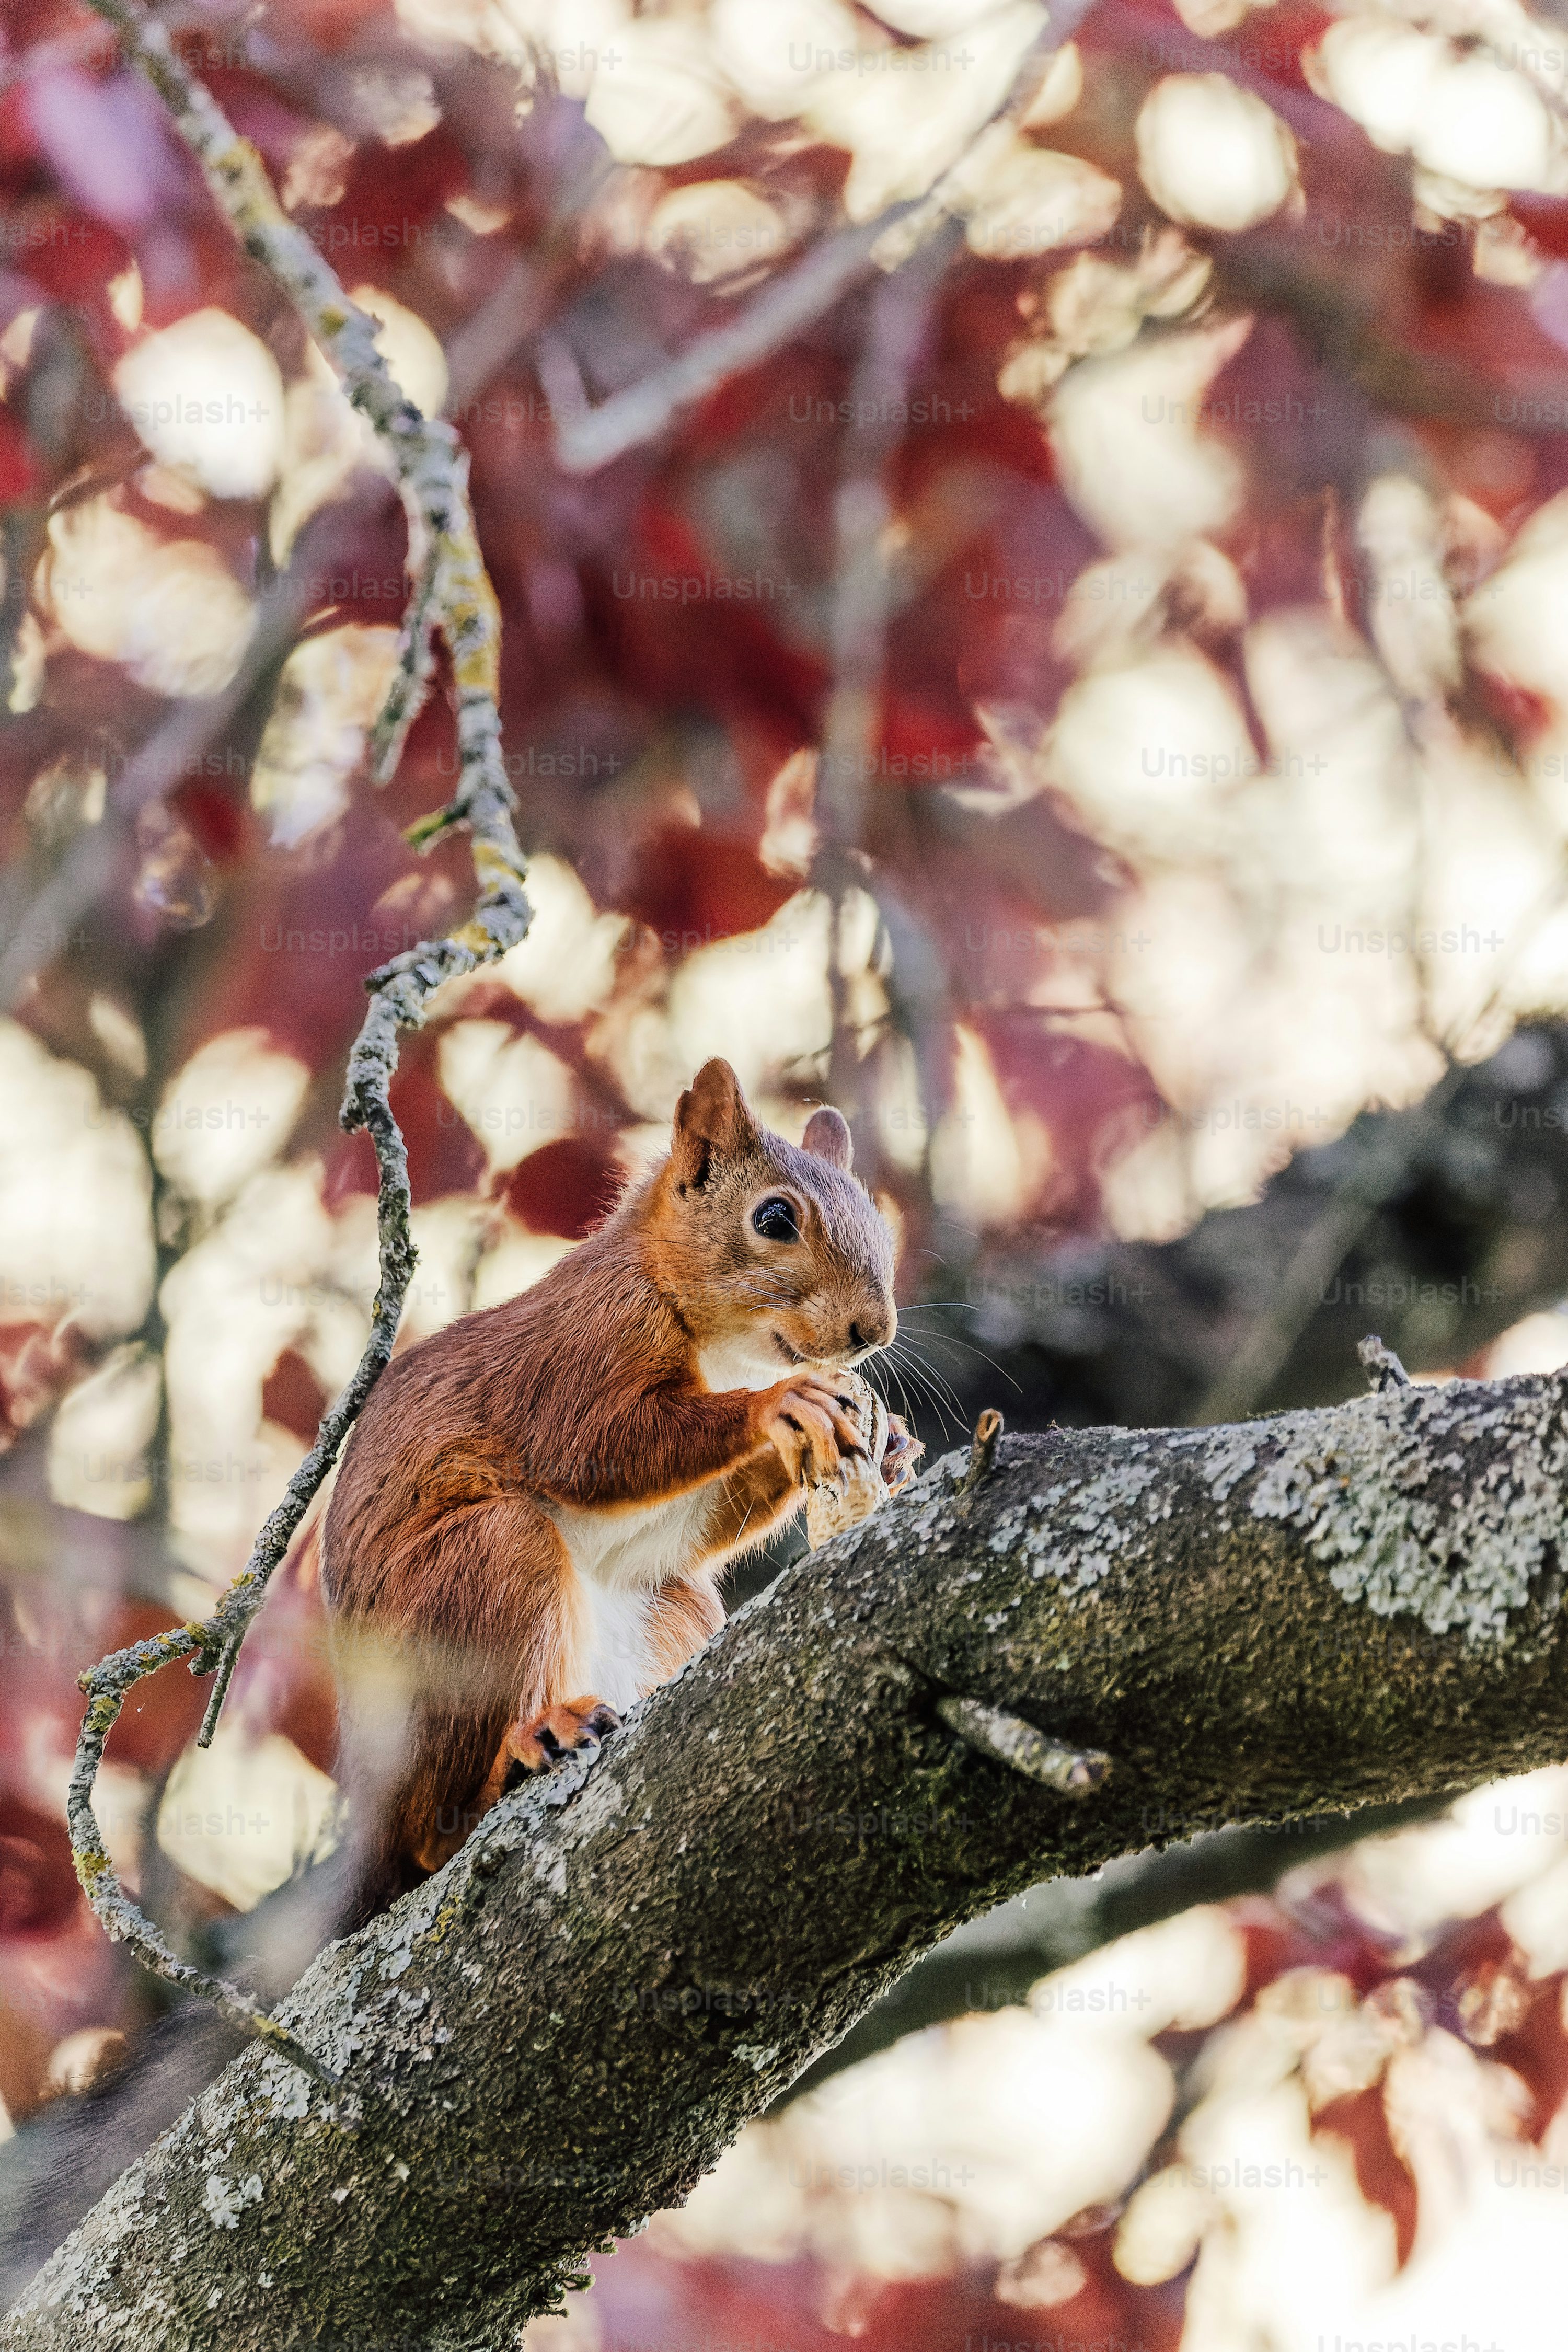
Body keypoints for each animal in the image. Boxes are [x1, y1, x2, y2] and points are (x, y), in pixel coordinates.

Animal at [321, 1057, 921, 1922]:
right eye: (774, 1219)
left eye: (877, 1217)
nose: (873, 1332)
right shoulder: (586, 1347)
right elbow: (598, 1451)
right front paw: (778, 1406)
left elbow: (692, 1521)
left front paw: (893, 1443)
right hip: (475, 1576)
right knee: (436, 1830)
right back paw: (529, 1744)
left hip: (673, 1607)